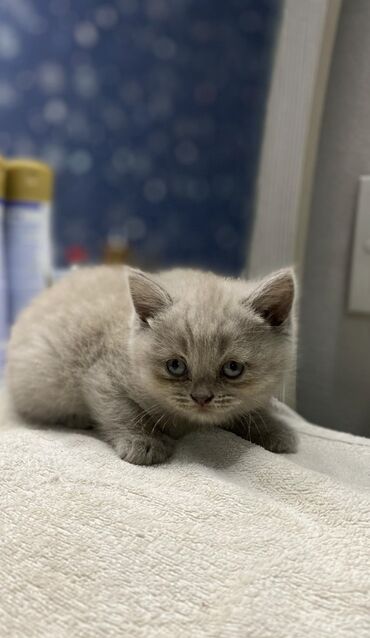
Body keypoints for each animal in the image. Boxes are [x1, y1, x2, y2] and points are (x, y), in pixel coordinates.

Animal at [5, 262, 298, 468]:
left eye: (233, 368)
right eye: (175, 366)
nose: (201, 398)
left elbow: (251, 410)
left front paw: (275, 430)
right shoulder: (102, 374)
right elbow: (122, 410)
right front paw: (143, 442)